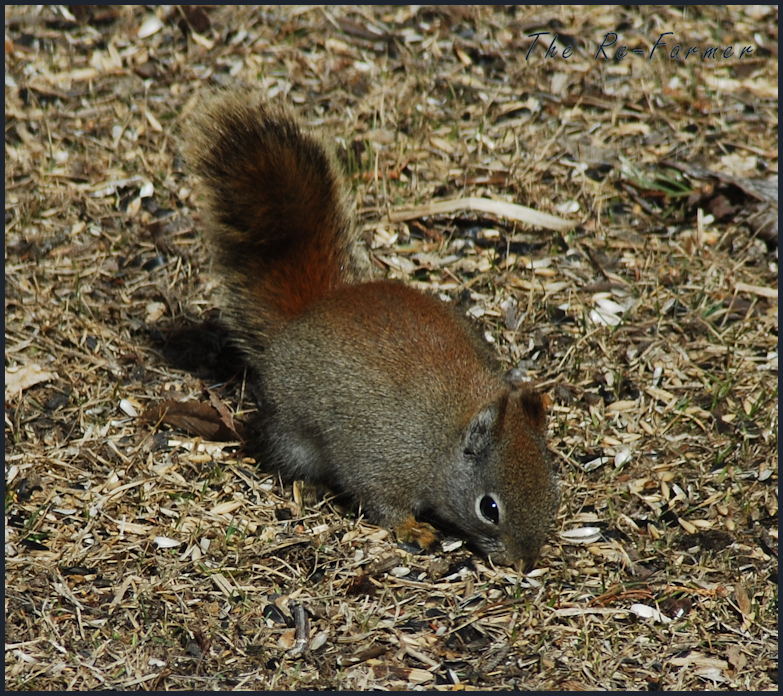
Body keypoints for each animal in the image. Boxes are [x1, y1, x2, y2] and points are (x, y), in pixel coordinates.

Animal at [183, 89, 559, 569]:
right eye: (489, 508)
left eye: (552, 491)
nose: (524, 562)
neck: (444, 439)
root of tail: (315, 308)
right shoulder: (382, 459)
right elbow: (382, 501)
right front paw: (412, 529)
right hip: (292, 429)